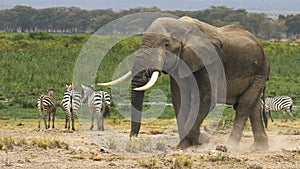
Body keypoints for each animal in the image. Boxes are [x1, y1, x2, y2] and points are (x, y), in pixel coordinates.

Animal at [98, 16, 270, 151]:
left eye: (166, 44)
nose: (132, 140)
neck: (182, 27)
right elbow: (179, 99)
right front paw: (184, 145)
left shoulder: (208, 62)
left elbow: (206, 99)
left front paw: (198, 142)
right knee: (253, 106)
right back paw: (259, 147)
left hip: (260, 71)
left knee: (243, 106)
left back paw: (230, 146)